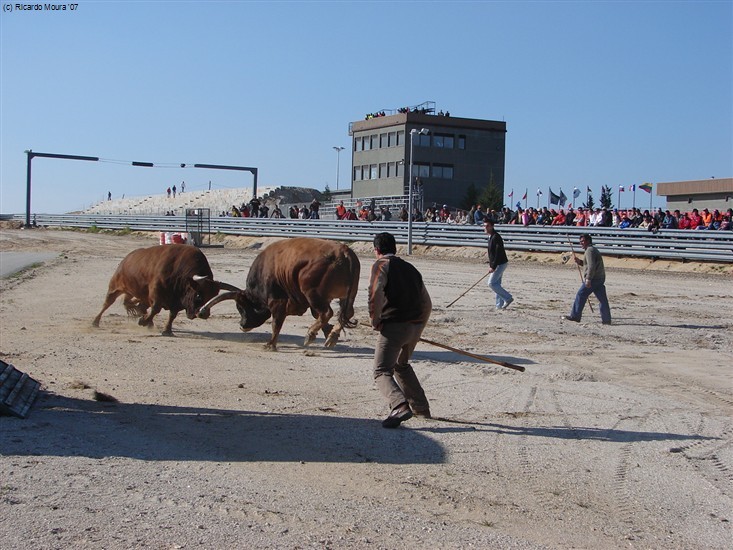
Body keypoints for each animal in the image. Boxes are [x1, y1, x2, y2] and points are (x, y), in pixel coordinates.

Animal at [90, 245, 236, 336]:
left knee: (140, 306)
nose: (203, 314)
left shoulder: (175, 301)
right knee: (107, 303)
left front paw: (167, 330)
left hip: (141, 296)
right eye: (199, 295)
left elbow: (172, 315)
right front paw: (143, 321)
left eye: (213, 296)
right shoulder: (156, 293)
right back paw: (95, 322)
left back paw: (149, 323)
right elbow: (156, 309)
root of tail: (127, 258)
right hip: (114, 287)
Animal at [196, 236, 358, 350]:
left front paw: (270, 344)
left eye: (240, 308)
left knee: (327, 313)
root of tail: (343, 251)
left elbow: (276, 322)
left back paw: (310, 335)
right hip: (347, 295)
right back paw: (332, 337)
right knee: (345, 313)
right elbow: (316, 316)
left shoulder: (277, 301)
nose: (242, 325)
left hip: (313, 294)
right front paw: (328, 333)